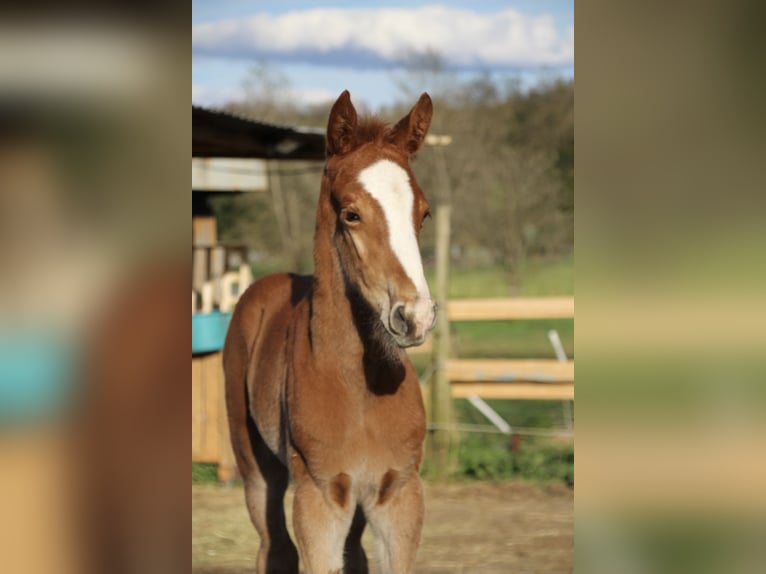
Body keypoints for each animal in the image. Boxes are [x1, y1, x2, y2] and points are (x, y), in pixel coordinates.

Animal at [223, 90, 436, 574]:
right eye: (351, 214)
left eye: (424, 214)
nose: (415, 316)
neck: (358, 387)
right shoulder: (318, 499)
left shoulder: (399, 494)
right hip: (255, 465)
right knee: (274, 547)